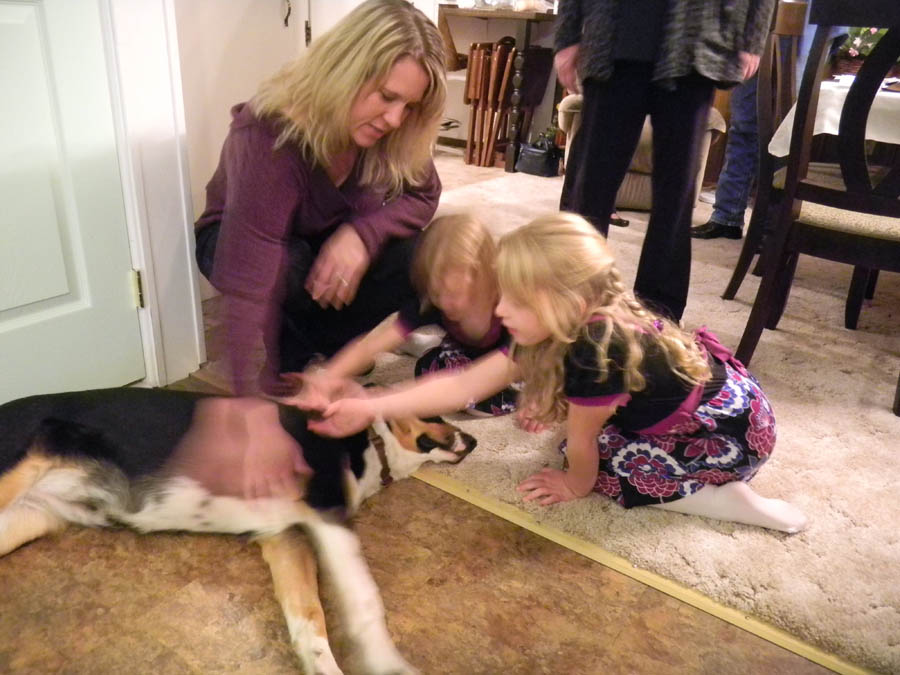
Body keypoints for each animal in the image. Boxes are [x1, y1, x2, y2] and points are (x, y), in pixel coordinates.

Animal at [0, 387, 476, 674]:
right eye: (434, 410)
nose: (473, 442)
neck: (367, 442)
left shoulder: (285, 537)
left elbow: (309, 620)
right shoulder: (326, 513)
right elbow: (364, 599)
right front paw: (386, 659)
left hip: (24, 519)